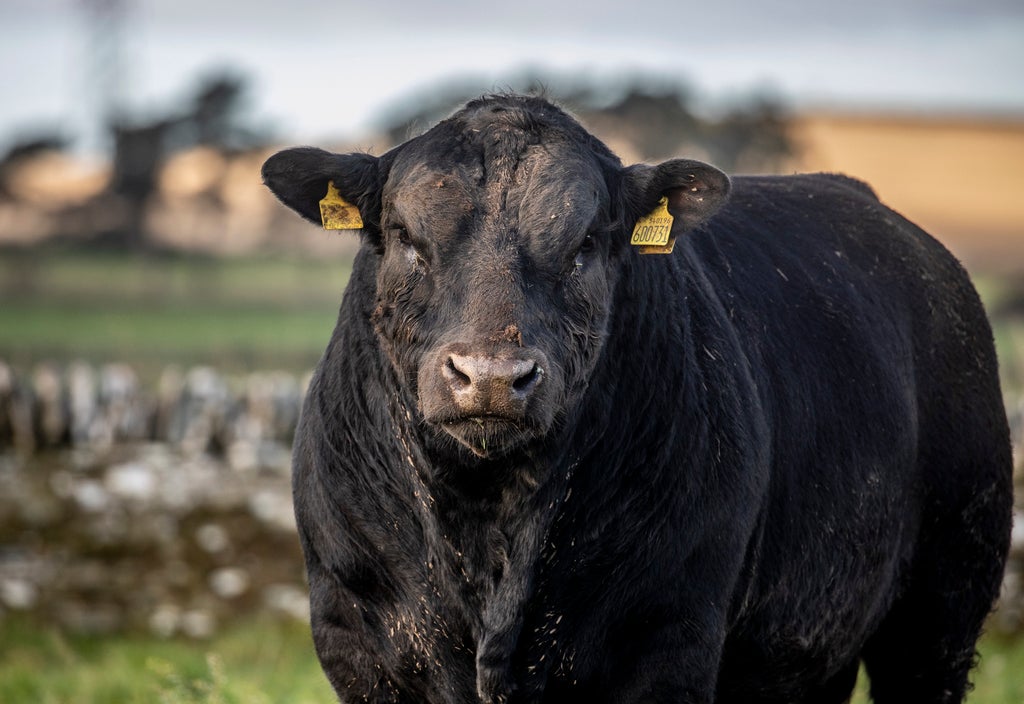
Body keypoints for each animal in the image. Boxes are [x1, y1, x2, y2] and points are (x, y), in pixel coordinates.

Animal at [261, 94, 1013, 704]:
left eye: (587, 244)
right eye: (406, 237)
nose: (492, 375)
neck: (489, 520)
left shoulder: (667, 637)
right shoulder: (356, 639)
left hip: (943, 609)